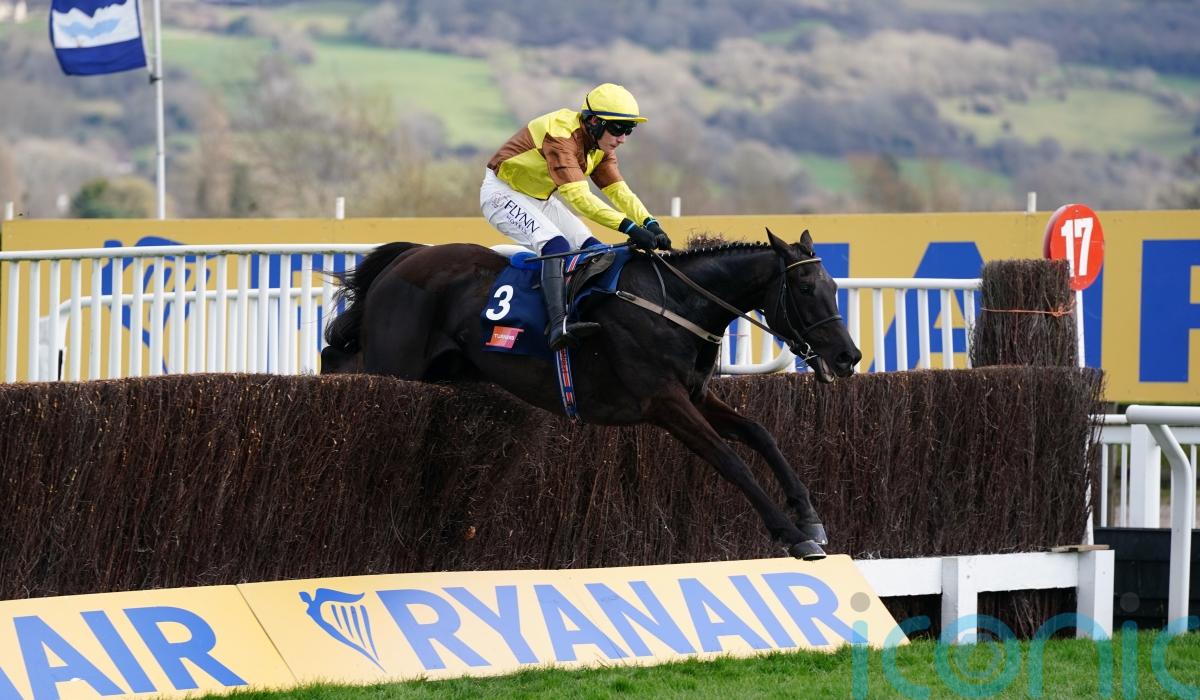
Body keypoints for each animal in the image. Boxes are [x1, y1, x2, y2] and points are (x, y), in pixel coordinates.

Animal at [321, 229, 862, 559]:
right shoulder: (664, 403)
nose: (848, 356)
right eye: (806, 290)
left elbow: (760, 434)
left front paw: (811, 519)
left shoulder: (695, 395)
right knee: (340, 363)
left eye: (834, 285)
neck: (675, 304)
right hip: (394, 363)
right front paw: (792, 536)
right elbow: (730, 460)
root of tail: (409, 256)